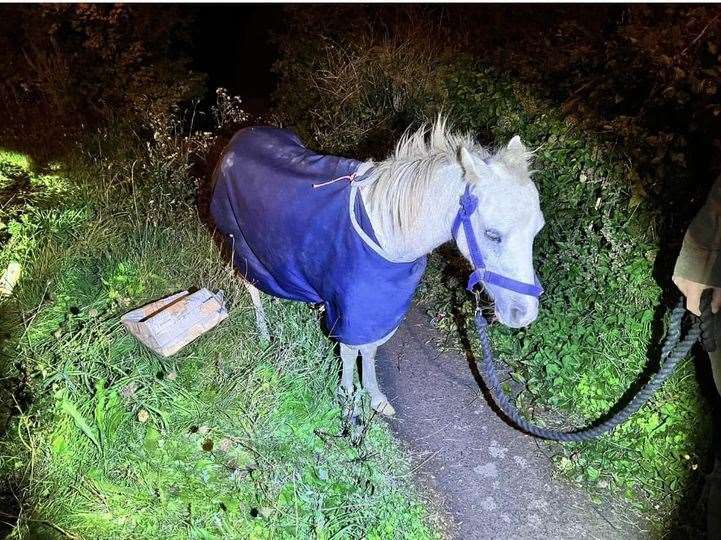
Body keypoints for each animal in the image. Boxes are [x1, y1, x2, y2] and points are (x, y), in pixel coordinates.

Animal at [211, 117, 544, 414]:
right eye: (492, 234)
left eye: (537, 229)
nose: (524, 314)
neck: (388, 232)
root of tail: (240, 137)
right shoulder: (350, 308)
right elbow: (349, 351)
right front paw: (347, 396)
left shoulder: (378, 305)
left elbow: (369, 350)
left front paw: (374, 397)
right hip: (243, 252)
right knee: (253, 289)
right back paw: (264, 335)